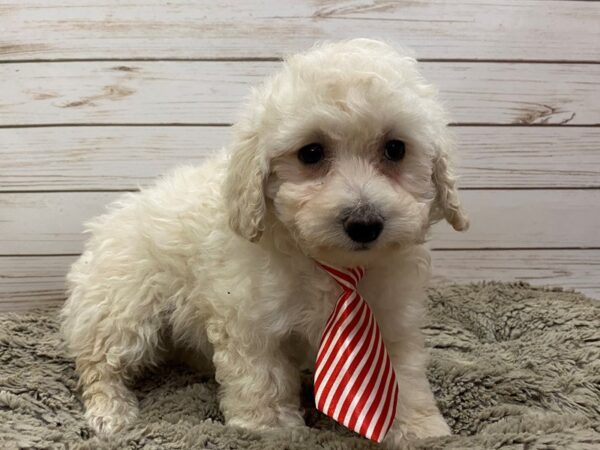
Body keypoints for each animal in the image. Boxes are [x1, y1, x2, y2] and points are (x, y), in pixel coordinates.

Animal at [63, 39, 472, 446]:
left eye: (395, 149)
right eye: (311, 153)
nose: (364, 223)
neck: (334, 267)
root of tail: (106, 222)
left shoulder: (390, 315)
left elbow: (403, 374)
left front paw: (419, 428)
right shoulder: (251, 320)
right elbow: (263, 378)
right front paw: (272, 428)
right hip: (122, 306)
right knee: (100, 362)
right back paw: (110, 412)